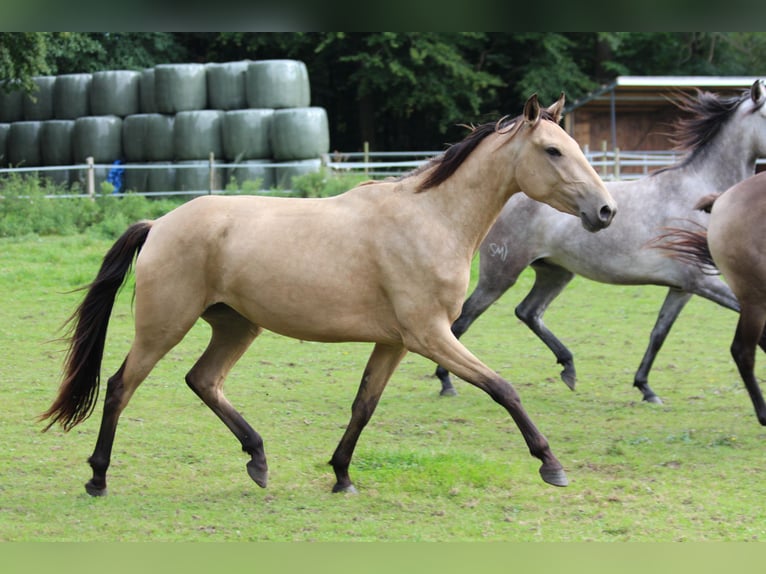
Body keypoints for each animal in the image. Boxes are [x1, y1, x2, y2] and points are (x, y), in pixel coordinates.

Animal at [438, 81, 766, 404]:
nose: (604, 212)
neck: (697, 194)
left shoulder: (682, 287)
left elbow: (658, 333)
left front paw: (645, 387)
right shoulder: (704, 281)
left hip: (555, 272)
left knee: (528, 311)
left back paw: (568, 367)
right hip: (501, 275)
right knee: (464, 318)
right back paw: (446, 382)